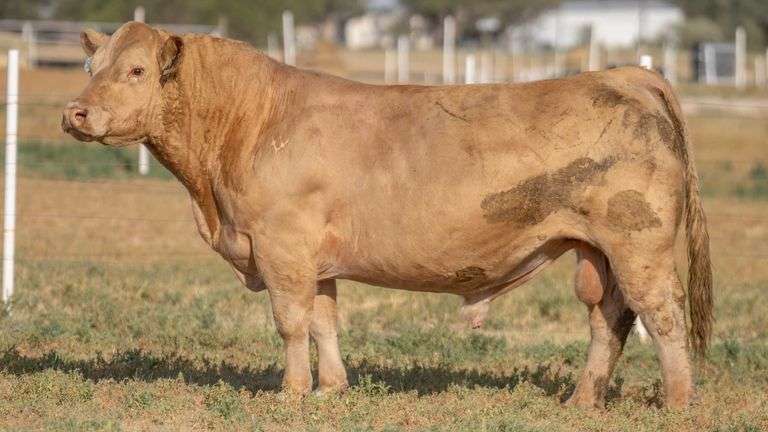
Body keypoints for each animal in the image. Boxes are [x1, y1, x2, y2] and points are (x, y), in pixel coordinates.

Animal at [62, 22, 713, 409]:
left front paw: (292, 394)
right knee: (609, 319)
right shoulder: (316, 260)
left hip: (640, 246)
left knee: (664, 316)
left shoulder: (282, 247)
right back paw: (583, 401)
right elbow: (324, 321)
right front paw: (331, 390)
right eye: (91, 68)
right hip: (599, 253)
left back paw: (678, 403)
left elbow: (291, 322)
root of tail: (624, 75)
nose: (76, 113)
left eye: (136, 70)